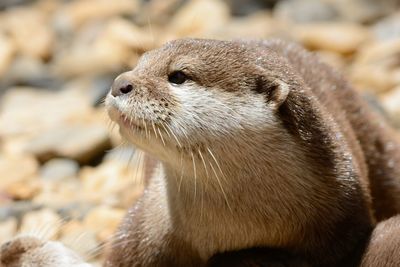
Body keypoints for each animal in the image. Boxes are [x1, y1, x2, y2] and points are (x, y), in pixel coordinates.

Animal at [0, 38, 400, 267]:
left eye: (178, 75)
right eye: (140, 63)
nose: (119, 83)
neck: (231, 228)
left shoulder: (343, 222)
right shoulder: (141, 234)